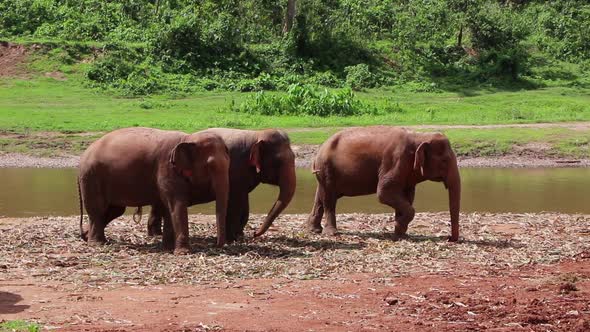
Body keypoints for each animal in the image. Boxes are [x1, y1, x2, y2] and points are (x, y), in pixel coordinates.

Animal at [80, 127, 232, 254]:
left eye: (229, 162)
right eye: (210, 166)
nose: (216, 246)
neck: (188, 138)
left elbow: (169, 208)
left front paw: (168, 248)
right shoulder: (166, 169)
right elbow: (177, 205)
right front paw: (183, 252)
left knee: (114, 210)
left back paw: (88, 236)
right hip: (91, 176)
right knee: (97, 209)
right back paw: (97, 243)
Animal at [146, 129, 298, 241]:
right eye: (278, 162)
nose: (255, 233)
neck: (256, 134)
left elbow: (244, 204)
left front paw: (239, 235)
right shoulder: (236, 168)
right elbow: (235, 203)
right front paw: (233, 239)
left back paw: (155, 234)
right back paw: (155, 234)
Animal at [308, 126, 464, 241]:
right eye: (444, 160)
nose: (449, 238)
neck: (419, 136)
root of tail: (319, 150)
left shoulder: (407, 172)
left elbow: (408, 196)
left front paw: (400, 233)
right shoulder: (395, 160)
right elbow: (384, 193)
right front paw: (398, 227)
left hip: (325, 171)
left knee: (321, 196)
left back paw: (314, 230)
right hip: (327, 168)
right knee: (329, 199)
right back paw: (332, 233)